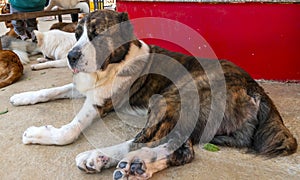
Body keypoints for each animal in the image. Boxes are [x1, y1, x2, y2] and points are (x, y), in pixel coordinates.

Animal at [9, 10, 298, 179]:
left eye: (98, 34)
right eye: (77, 34)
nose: (71, 56)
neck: (117, 60)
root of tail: (256, 88)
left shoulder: (99, 103)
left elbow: (69, 131)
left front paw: (40, 134)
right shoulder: (86, 90)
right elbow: (51, 90)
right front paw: (22, 97)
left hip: (172, 96)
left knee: (150, 140)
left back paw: (100, 157)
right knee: (181, 149)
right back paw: (139, 166)